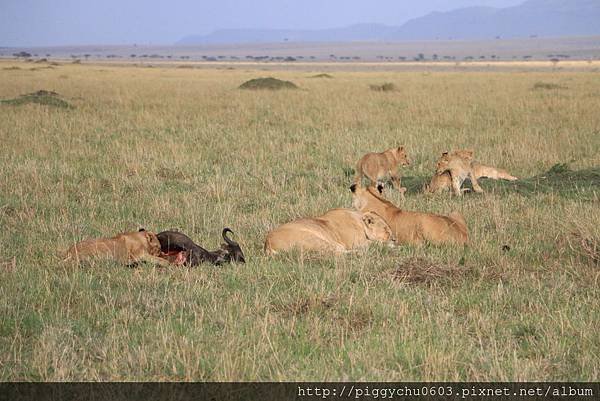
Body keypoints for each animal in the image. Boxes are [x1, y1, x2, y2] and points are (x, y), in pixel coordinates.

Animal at [264, 206, 396, 253]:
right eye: (386, 230)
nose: (395, 239)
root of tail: (268, 244)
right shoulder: (357, 243)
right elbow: (375, 243)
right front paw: (392, 245)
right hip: (313, 240)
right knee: (337, 253)